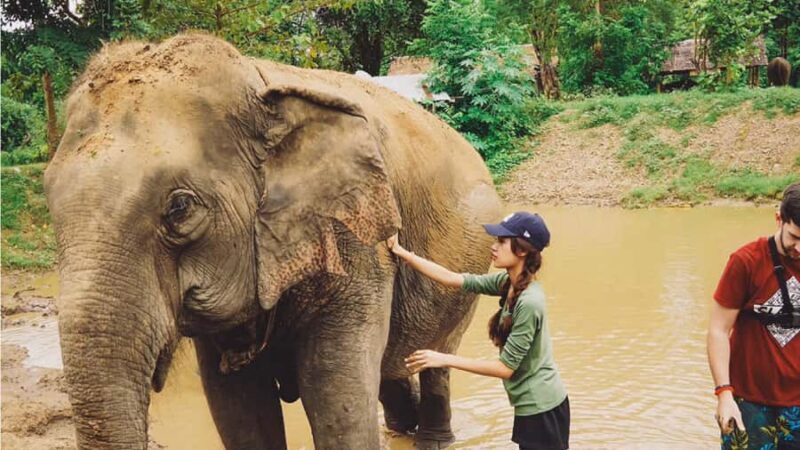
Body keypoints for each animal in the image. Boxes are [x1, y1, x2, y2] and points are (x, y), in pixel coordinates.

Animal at [44, 33, 501, 449]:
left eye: (179, 209)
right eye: (50, 204)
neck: (258, 81)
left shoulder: (356, 243)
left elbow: (334, 395)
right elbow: (237, 404)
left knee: (436, 356)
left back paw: (433, 440)